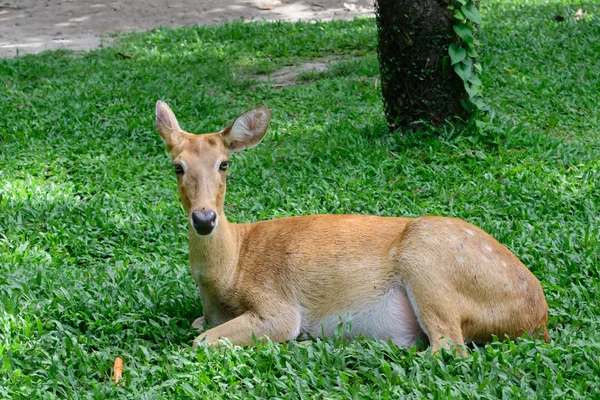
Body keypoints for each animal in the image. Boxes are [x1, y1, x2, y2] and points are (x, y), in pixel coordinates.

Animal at [155, 101, 548, 356]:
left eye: (224, 163)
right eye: (177, 166)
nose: (204, 219)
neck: (229, 272)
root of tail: (539, 316)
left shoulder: (277, 306)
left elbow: (201, 341)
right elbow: (197, 329)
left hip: (427, 263)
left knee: (448, 347)